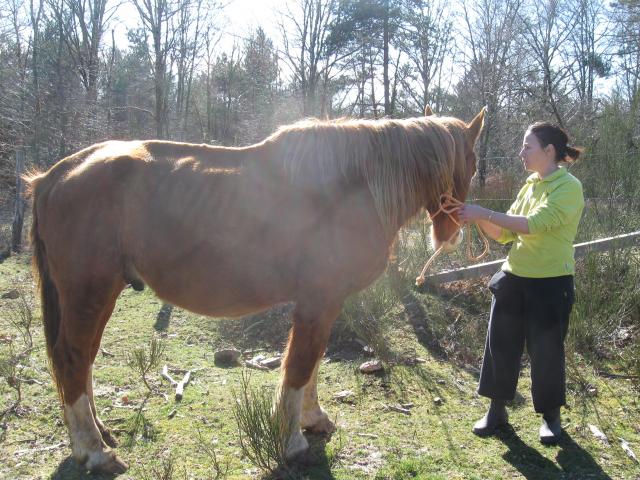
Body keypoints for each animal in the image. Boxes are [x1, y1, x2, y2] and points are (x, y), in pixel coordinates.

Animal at [27, 106, 482, 472]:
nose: (452, 234)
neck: (352, 186)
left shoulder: (323, 303)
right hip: (90, 291)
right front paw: (293, 440)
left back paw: (100, 433)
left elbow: (311, 362)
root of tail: (55, 174)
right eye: (473, 162)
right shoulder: (319, 300)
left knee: (83, 358)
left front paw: (313, 419)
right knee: (72, 358)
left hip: (100, 293)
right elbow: (300, 366)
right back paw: (94, 451)